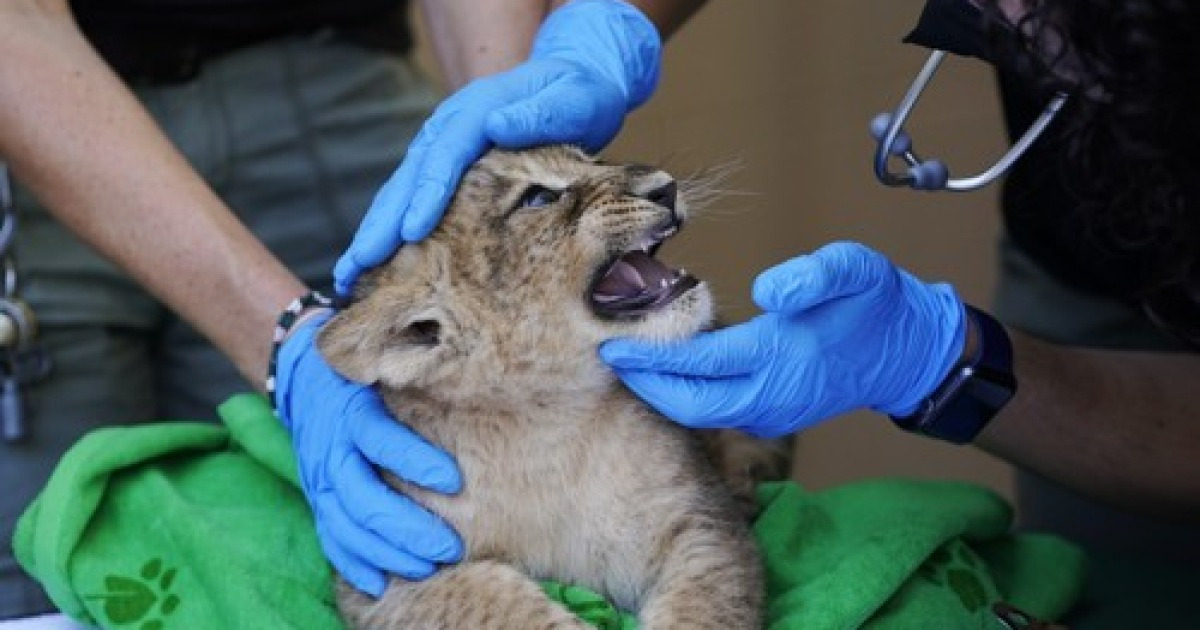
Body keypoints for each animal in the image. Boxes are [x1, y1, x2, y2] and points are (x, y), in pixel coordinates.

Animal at [319, 145, 782, 629]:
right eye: (538, 198)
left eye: (593, 160)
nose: (664, 186)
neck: (545, 420)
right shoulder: (385, 573)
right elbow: (492, 601)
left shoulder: (701, 520)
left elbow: (702, 607)